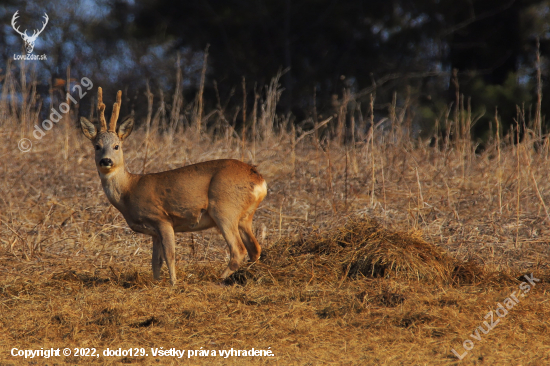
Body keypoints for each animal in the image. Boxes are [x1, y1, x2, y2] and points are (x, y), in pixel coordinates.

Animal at [81, 88, 268, 286]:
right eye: (97, 146)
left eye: (116, 146)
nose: (106, 161)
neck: (129, 190)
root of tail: (259, 180)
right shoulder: (154, 232)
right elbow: (155, 261)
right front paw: (156, 283)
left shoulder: (162, 218)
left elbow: (170, 255)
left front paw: (173, 284)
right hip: (244, 216)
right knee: (255, 248)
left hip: (225, 209)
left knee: (238, 250)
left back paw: (217, 280)